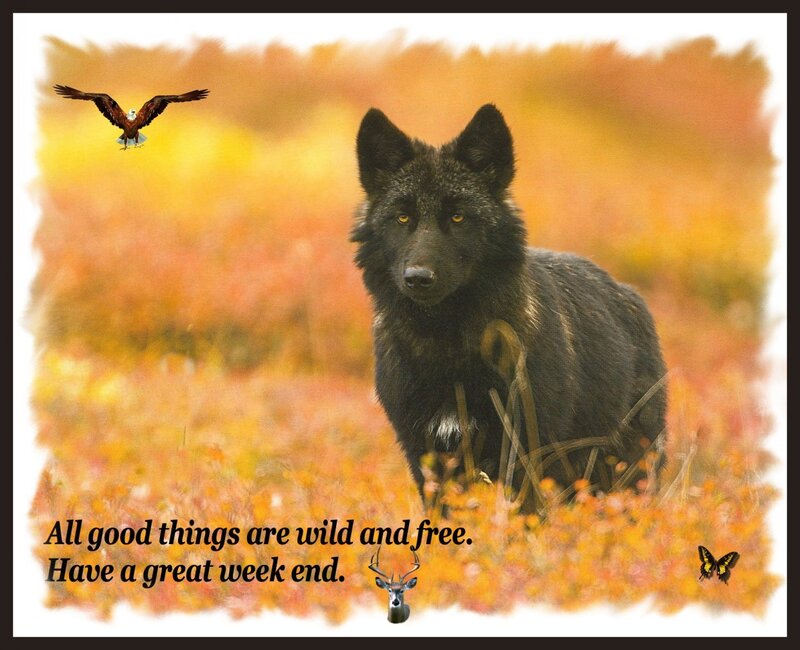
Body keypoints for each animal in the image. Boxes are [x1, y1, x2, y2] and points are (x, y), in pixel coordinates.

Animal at [351, 104, 667, 510]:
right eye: (403, 217)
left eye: (457, 216)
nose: (417, 278)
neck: (449, 349)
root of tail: (627, 292)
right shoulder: (426, 458)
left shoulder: (525, 456)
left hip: (622, 478)